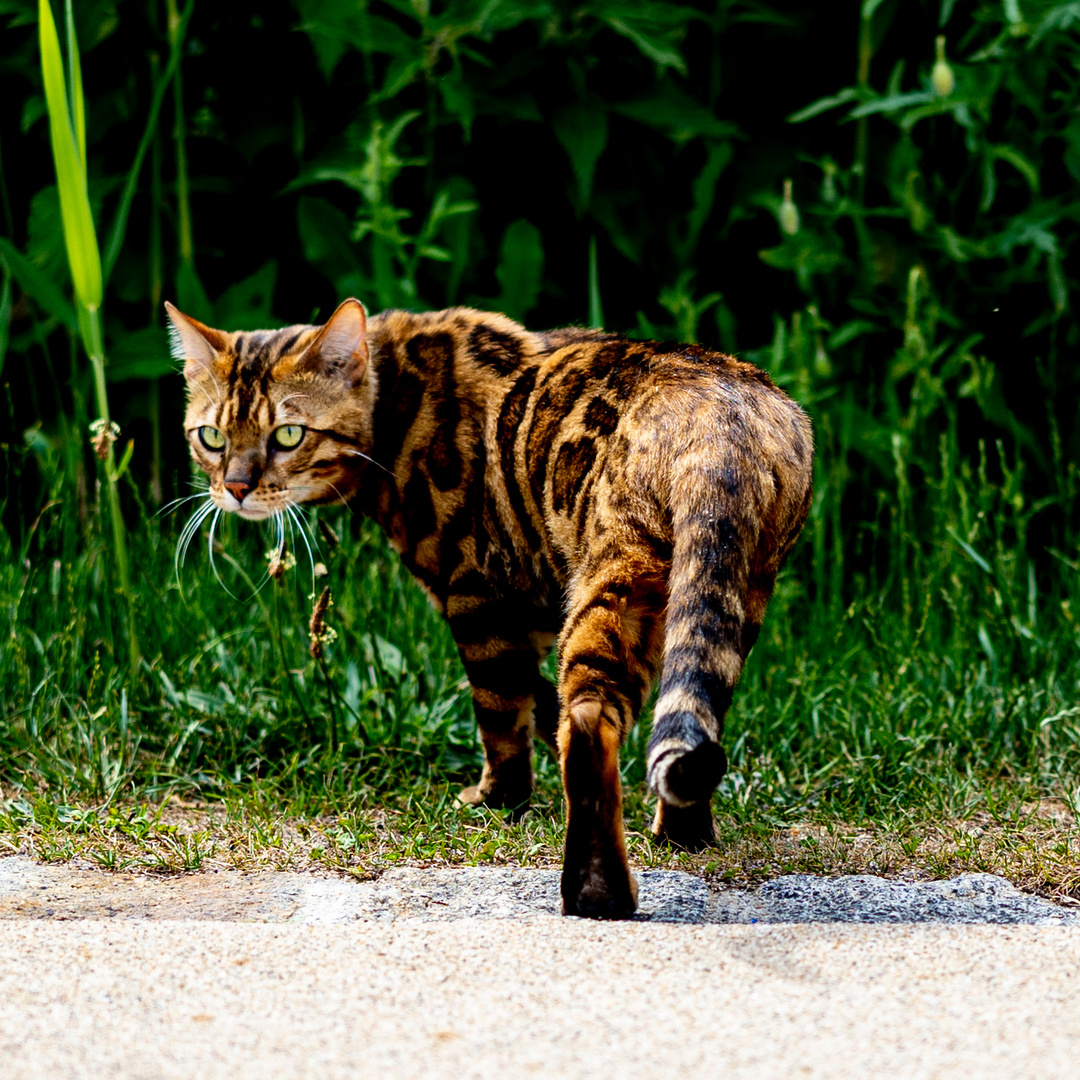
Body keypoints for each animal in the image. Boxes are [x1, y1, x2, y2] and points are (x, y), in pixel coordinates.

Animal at [166, 298, 812, 920]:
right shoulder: (532, 608)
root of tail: (718, 423)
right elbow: (535, 699)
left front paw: (499, 801)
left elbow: (501, 717)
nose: (236, 488)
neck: (397, 398)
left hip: (616, 581)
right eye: (212, 438)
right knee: (691, 724)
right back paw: (684, 835)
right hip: (726, 597)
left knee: (585, 722)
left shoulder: (477, 593)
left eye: (288, 435)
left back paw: (597, 892)